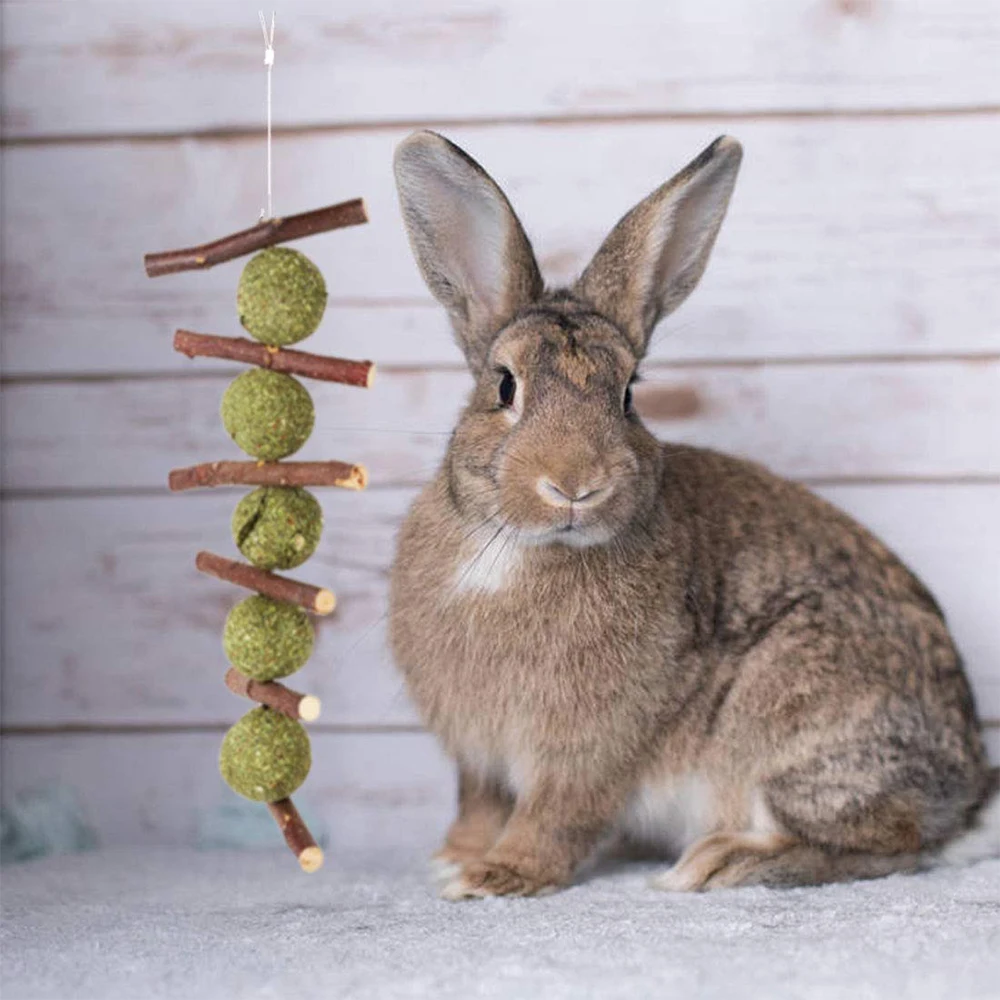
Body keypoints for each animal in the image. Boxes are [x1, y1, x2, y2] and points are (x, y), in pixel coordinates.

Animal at [388, 130, 998, 899]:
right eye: (504, 386)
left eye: (627, 394)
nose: (575, 484)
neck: (521, 546)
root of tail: (969, 793)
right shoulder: (478, 755)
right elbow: (479, 802)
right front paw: (457, 857)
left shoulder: (590, 746)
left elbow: (556, 815)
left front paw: (498, 875)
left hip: (789, 713)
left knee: (891, 841)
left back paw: (722, 862)